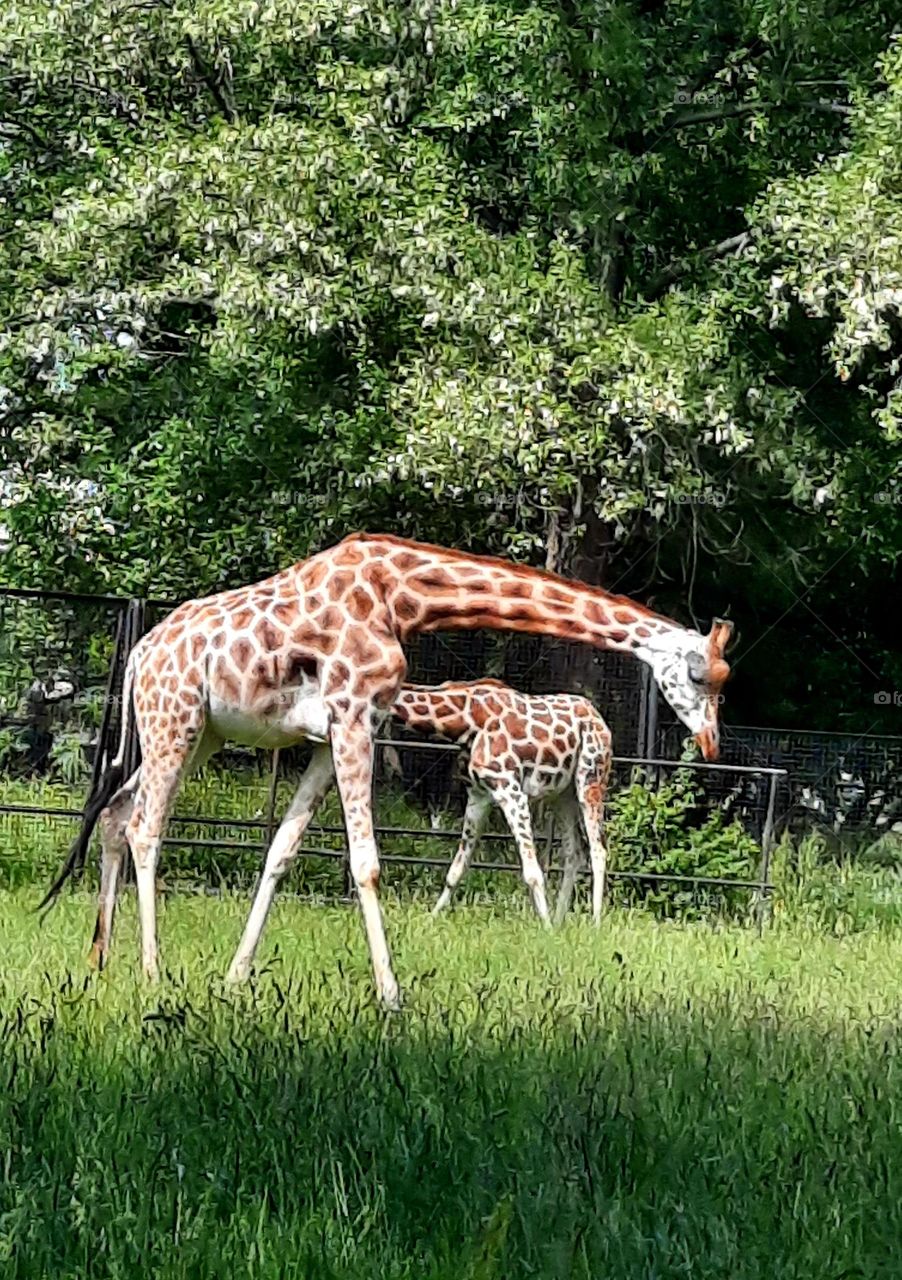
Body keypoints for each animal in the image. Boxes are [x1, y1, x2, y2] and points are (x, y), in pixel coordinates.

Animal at [391, 675, 611, 926]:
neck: (466, 720)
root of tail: (598, 717)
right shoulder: (478, 796)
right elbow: (456, 870)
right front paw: (431, 919)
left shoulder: (510, 789)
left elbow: (533, 873)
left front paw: (545, 927)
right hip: (563, 794)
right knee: (574, 852)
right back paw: (559, 921)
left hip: (591, 776)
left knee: (598, 849)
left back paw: (594, 923)